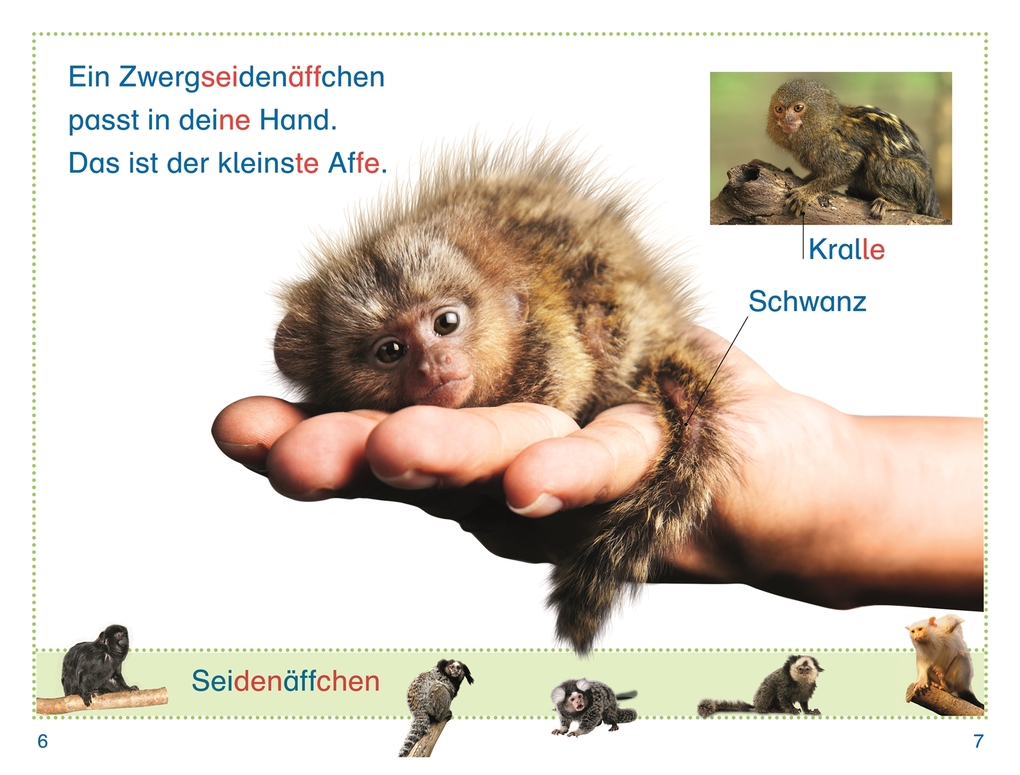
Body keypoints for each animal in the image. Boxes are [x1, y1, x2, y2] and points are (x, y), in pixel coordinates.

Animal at [766, 79, 941, 219]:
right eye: (779, 109)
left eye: (798, 108)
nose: (787, 119)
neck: (824, 127)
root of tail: (931, 193)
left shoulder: (833, 144)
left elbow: (851, 164)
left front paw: (806, 193)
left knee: (879, 166)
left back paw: (896, 203)